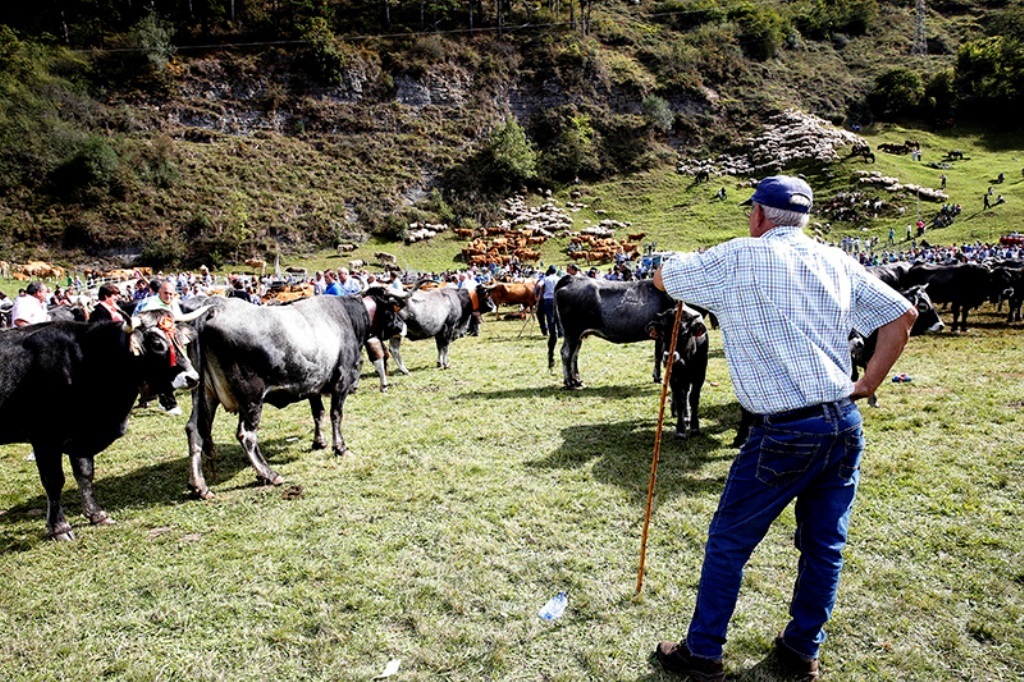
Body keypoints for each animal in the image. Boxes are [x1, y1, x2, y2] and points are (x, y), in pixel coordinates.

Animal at [0, 311, 201, 540]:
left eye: (180, 339)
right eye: (157, 344)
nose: (193, 378)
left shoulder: (81, 435)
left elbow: (85, 474)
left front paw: (96, 514)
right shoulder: (45, 438)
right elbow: (53, 481)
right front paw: (60, 527)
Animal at [182, 288, 405, 499]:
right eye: (393, 310)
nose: (401, 326)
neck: (347, 316)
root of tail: (214, 306)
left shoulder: (313, 384)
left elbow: (318, 413)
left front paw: (319, 442)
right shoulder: (341, 381)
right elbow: (335, 415)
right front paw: (340, 447)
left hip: (204, 393)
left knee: (194, 430)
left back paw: (199, 487)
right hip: (251, 398)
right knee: (246, 435)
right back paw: (269, 474)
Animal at [544, 274, 679, 385]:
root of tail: (573, 279)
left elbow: (658, 355)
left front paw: (657, 377)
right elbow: (660, 356)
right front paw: (659, 378)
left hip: (578, 335)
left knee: (574, 355)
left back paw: (577, 380)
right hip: (572, 333)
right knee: (566, 353)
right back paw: (569, 382)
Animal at [643, 303, 708, 440]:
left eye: (684, 333)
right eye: (662, 333)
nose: (668, 356)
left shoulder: (699, 375)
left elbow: (694, 398)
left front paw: (694, 427)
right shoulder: (674, 377)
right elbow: (680, 399)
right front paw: (680, 430)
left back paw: (687, 416)